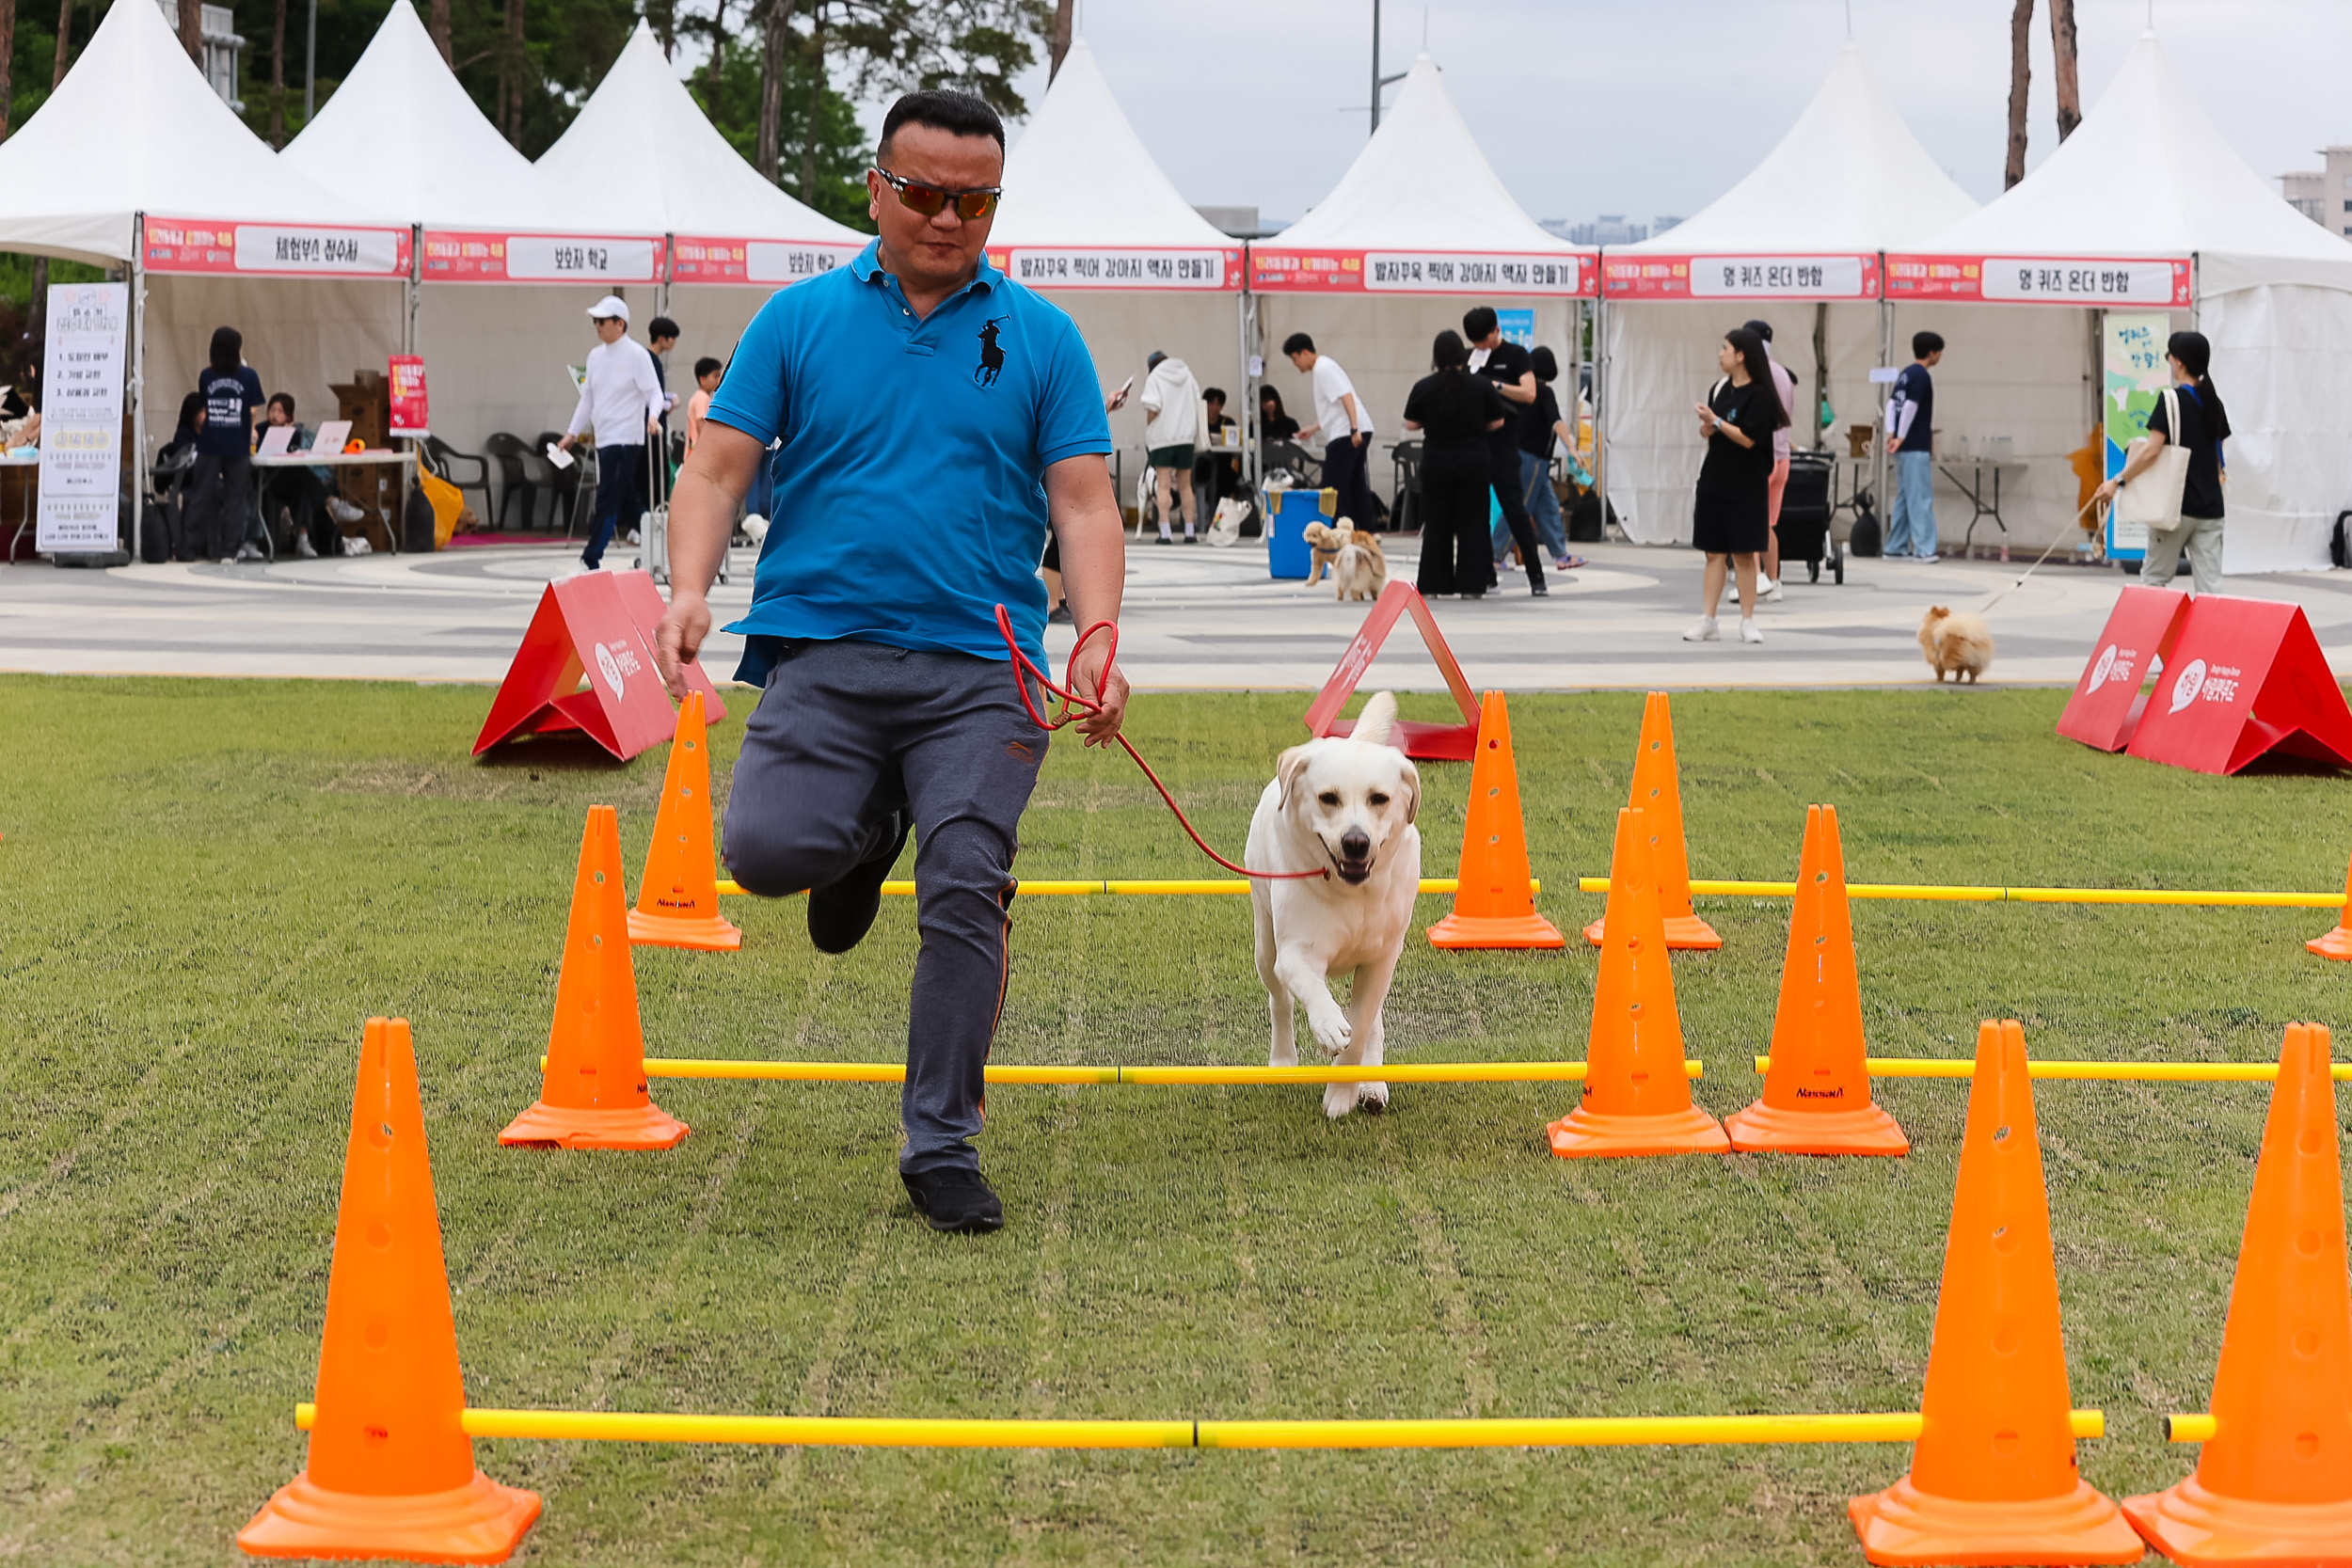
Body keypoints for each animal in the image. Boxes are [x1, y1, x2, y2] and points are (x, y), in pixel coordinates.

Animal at [1242, 695, 1421, 1114]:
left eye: (1379, 799)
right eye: (1328, 798)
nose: (1356, 841)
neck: (1354, 894)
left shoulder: (1381, 960)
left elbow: (1362, 1028)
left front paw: (1343, 1092)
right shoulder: (1295, 951)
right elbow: (1309, 987)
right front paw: (1328, 1026)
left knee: (1373, 1023)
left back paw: (1372, 1084)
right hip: (1265, 944)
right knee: (1280, 1001)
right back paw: (1283, 1061)